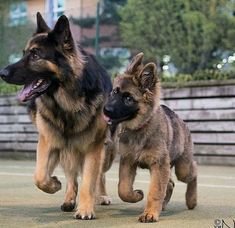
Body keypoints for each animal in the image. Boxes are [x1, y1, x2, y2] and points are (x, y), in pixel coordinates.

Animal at [0, 13, 114, 220]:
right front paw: (54, 184)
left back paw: (100, 195)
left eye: (35, 55)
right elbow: (39, 176)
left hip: (104, 148)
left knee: (99, 175)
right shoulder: (49, 140)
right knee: (71, 173)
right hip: (66, 144)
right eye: (24, 53)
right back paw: (69, 198)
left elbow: (89, 179)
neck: (67, 103)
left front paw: (85, 208)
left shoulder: (93, 145)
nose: (2, 73)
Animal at [103, 53, 197, 223]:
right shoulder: (128, 161)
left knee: (193, 171)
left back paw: (191, 200)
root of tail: (182, 121)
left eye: (128, 99)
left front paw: (150, 213)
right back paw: (164, 205)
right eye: (114, 92)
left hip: (183, 168)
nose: (105, 110)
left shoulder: (158, 164)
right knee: (170, 184)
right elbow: (123, 188)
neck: (140, 127)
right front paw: (136, 195)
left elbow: (155, 191)